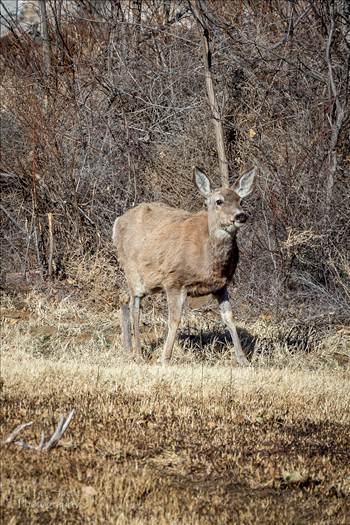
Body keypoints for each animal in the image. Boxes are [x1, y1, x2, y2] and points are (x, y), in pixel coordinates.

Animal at [113, 167, 256, 364]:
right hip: (132, 271)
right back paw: (139, 354)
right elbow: (174, 319)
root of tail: (117, 222)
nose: (240, 215)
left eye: (240, 200)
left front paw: (243, 360)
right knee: (135, 306)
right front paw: (165, 358)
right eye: (219, 201)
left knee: (123, 298)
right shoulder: (174, 280)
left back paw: (129, 350)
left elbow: (229, 317)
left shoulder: (221, 285)